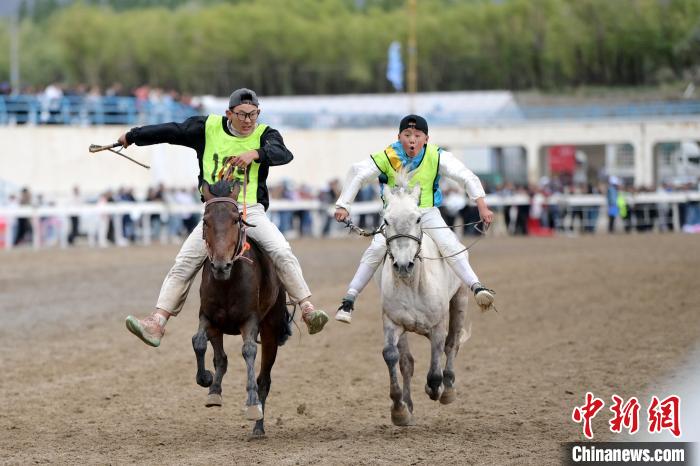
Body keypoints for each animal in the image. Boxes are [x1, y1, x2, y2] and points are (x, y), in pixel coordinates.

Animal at [193, 178, 292, 436]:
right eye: (205, 221)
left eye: (235, 220)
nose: (220, 265)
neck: (228, 281)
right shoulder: (209, 317)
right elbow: (201, 343)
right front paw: (208, 382)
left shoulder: (250, 321)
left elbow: (248, 351)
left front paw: (252, 405)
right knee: (221, 357)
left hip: (271, 329)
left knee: (264, 379)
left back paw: (258, 427)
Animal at [378, 177, 470, 426]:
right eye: (385, 220)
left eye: (418, 218)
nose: (403, 264)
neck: (413, 285)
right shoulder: (393, 322)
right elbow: (394, 357)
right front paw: (400, 409)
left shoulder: (437, 325)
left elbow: (437, 362)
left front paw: (435, 388)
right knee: (407, 362)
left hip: (460, 300)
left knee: (452, 343)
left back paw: (448, 389)